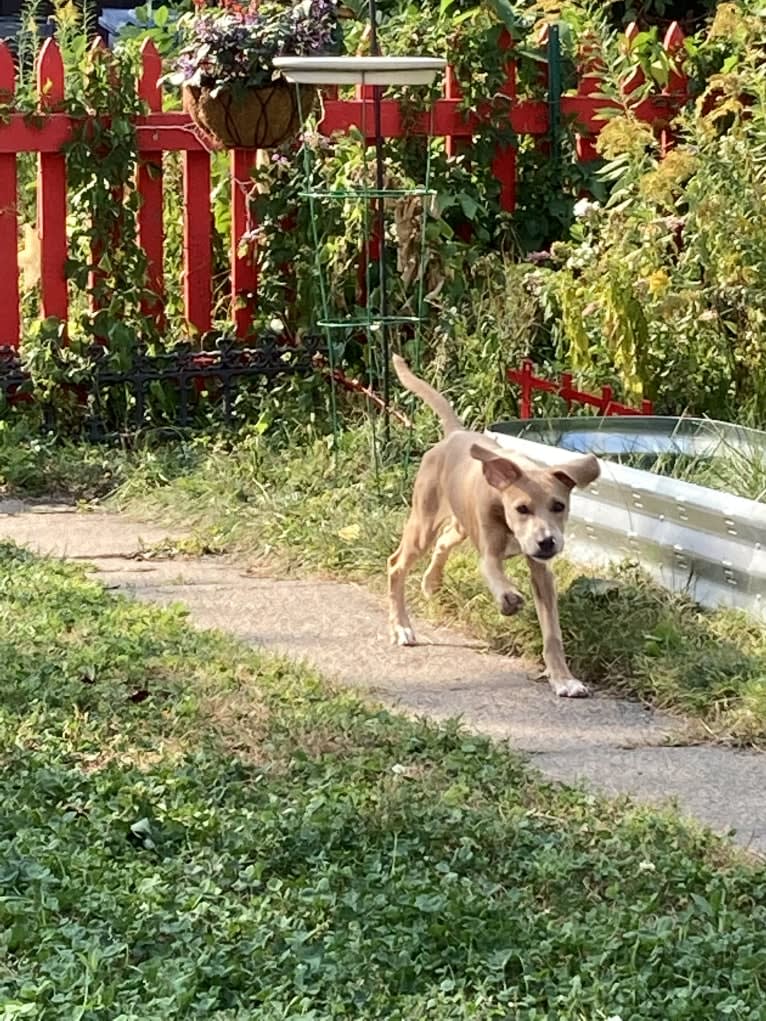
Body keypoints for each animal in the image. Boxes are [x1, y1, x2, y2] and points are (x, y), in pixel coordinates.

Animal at [390, 355, 600, 698]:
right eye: (521, 508)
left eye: (559, 506)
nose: (547, 542)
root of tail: (454, 435)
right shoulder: (489, 551)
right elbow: (493, 571)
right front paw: (508, 599)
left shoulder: (542, 573)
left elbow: (552, 633)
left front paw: (564, 678)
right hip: (423, 521)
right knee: (396, 564)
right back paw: (401, 627)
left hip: (459, 523)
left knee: (444, 542)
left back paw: (431, 583)